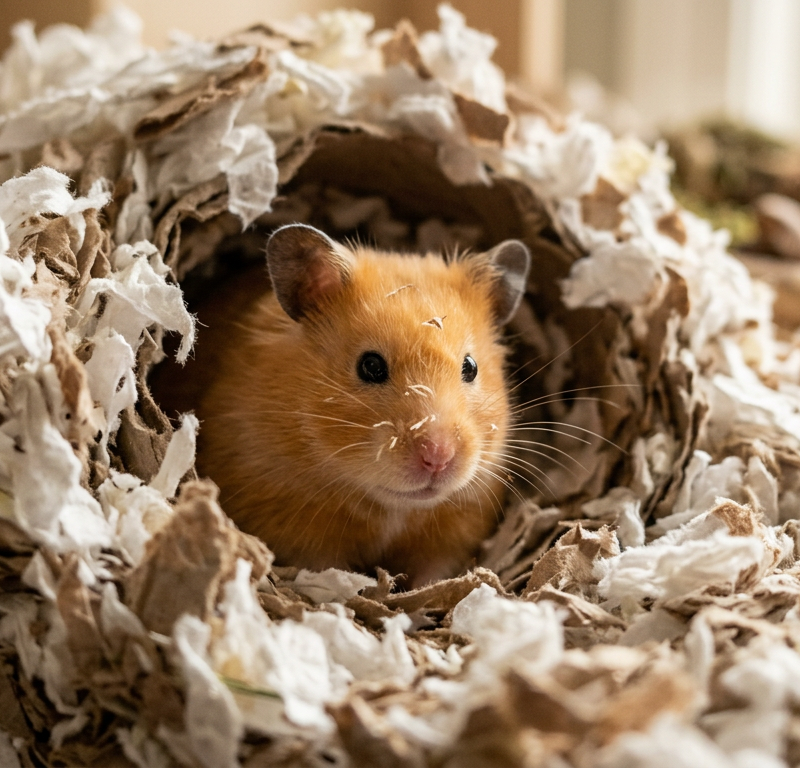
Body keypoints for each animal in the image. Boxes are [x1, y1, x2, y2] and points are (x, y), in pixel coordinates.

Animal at [193, 224, 530, 588]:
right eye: (370, 366)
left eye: (470, 367)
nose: (438, 457)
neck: (391, 508)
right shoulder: (290, 524)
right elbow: (325, 569)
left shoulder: (458, 527)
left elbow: (434, 571)